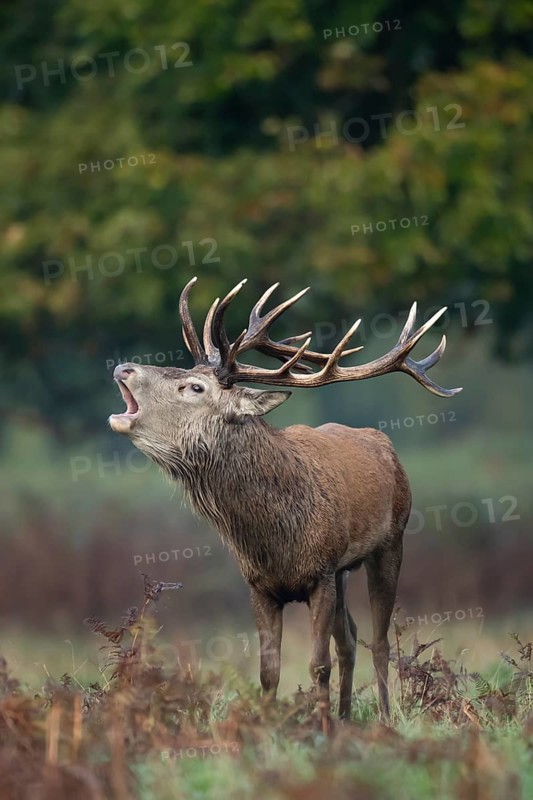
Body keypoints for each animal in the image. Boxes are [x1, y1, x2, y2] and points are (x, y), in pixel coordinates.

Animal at [109, 277, 461, 721]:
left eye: (194, 386)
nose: (123, 367)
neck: (275, 539)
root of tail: (384, 443)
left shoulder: (321, 572)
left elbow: (318, 664)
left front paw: (321, 725)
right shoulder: (260, 585)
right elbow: (269, 671)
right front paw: (274, 723)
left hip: (389, 543)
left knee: (379, 642)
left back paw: (382, 715)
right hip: (344, 570)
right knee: (350, 639)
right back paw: (346, 715)